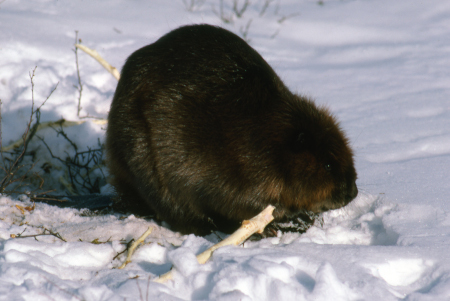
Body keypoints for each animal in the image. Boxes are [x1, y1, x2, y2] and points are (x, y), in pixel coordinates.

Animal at [104, 24, 356, 234]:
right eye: (328, 165)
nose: (352, 193)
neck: (268, 137)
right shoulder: (240, 164)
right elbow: (239, 202)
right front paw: (286, 219)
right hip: (141, 152)